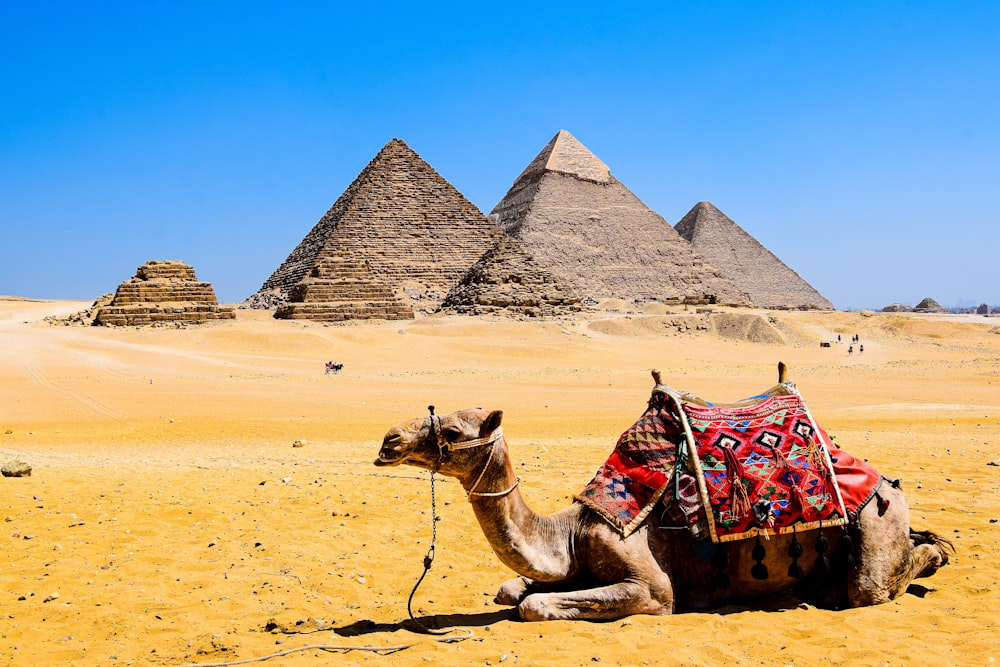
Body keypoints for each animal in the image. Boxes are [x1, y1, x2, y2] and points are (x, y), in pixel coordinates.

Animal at [372, 370, 948, 620]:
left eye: (451, 430)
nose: (388, 441)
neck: (569, 534)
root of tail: (886, 482)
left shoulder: (651, 587)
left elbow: (533, 605)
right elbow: (511, 591)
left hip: (877, 521)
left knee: (874, 584)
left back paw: (934, 555)